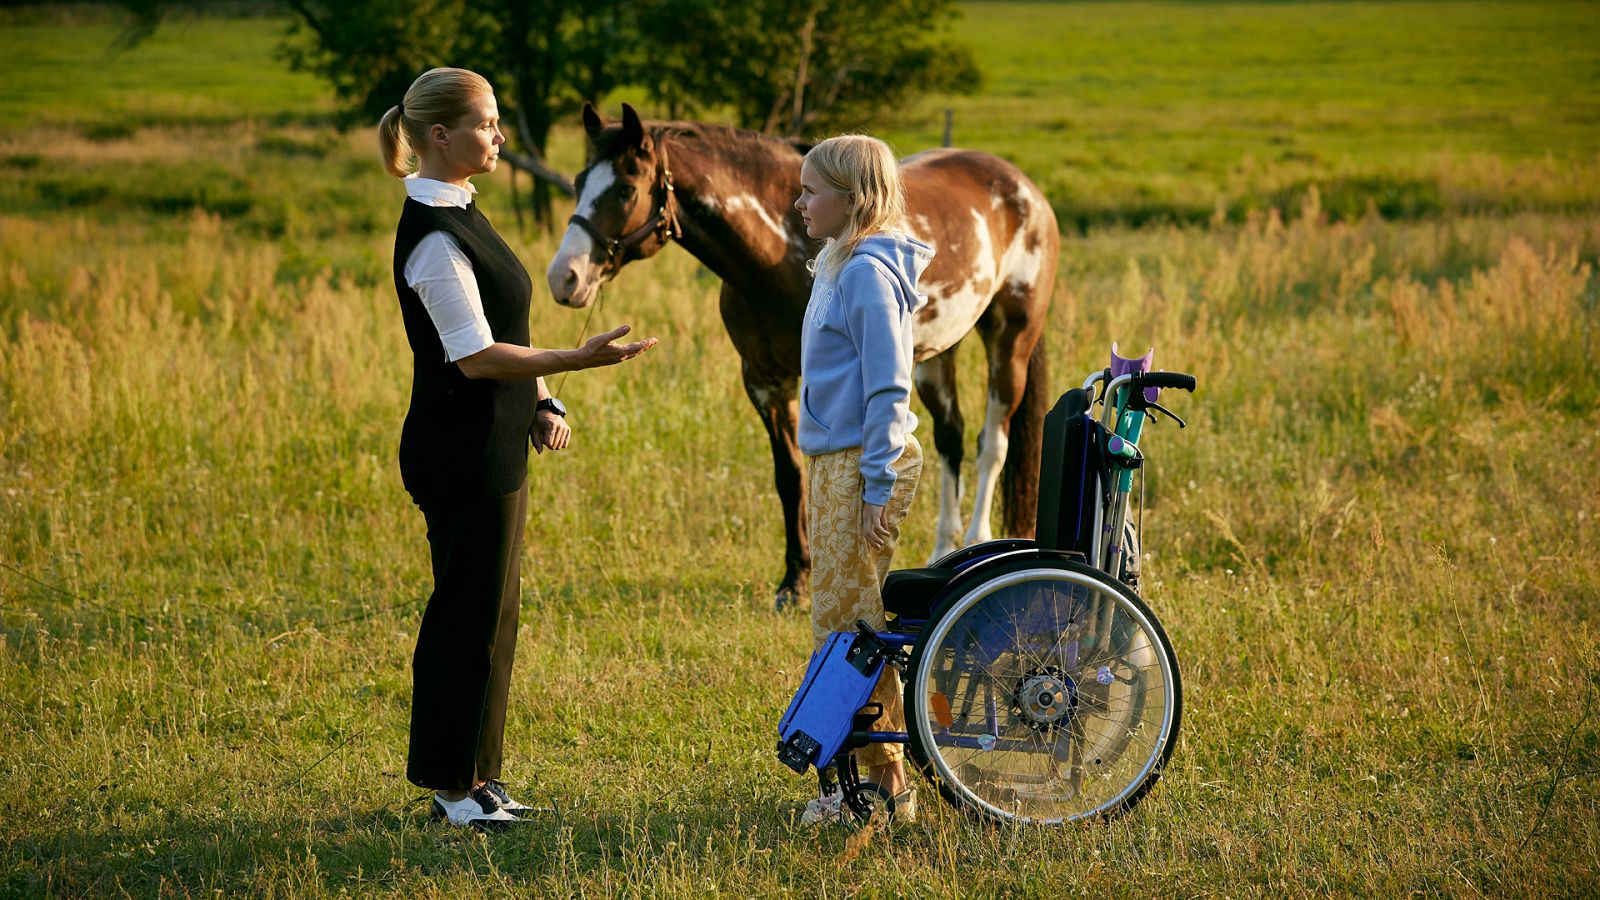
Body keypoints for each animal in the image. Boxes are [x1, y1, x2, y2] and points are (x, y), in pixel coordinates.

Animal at [544, 106, 1056, 608]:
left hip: (1010, 340)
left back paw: (979, 538)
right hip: (935, 353)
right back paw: (944, 550)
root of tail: (1022, 186)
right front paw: (794, 579)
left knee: (992, 444)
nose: (564, 278)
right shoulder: (765, 381)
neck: (777, 252)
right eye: (579, 181)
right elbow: (789, 477)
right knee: (951, 437)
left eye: (626, 189)